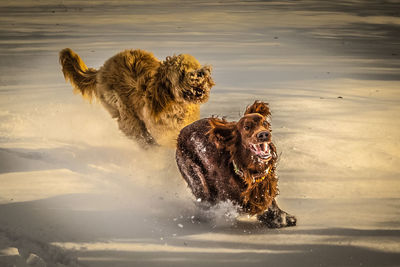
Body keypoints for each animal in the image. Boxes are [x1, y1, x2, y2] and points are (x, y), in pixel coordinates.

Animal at [59, 49, 214, 148]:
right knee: (134, 130)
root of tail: (101, 69)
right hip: (123, 111)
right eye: (182, 72)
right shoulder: (165, 133)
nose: (201, 73)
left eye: (195, 66)